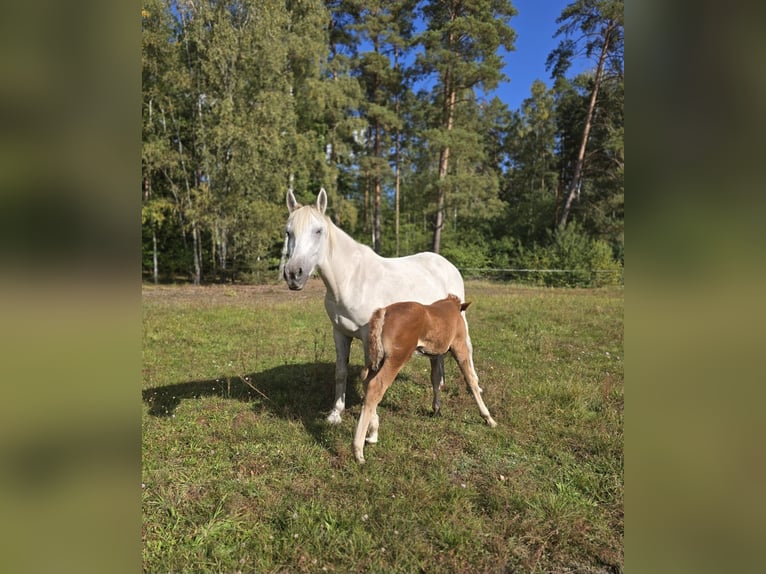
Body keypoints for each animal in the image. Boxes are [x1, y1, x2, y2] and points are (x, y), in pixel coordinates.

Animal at [281, 188, 483, 425]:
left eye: (318, 231)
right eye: (288, 232)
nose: (294, 274)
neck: (351, 280)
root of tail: (447, 264)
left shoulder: (368, 337)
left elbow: (371, 377)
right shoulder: (340, 333)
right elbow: (340, 372)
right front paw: (335, 414)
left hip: (461, 324)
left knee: (467, 352)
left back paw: (475, 387)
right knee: (438, 358)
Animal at [352, 295, 497, 463]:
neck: (452, 307)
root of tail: (384, 312)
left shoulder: (435, 354)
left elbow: (435, 378)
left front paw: (436, 408)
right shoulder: (459, 345)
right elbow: (471, 379)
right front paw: (488, 418)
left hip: (376, 357)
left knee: (366, 381)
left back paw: (373, 432)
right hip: (396, 358)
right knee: (376, 386)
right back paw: (358, 450)